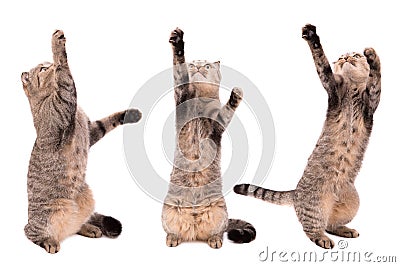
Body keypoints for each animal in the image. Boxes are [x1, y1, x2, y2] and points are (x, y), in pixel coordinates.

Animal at [21, 30, 141, 254]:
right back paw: (49, 241)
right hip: (47, 217)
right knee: (31, 233)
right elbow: (65, 71)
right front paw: (57, 45)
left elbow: (108, 121)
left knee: (74, 226)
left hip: (86, 197)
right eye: (43, 69)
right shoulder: (66, 98)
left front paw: (130, 114)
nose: (50, 65)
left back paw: (88, 228)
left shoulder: (91, 130)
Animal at [160, 27, 256, 249]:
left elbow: (227, 109)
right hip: (168, 212)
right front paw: (178, 44)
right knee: (173, 231)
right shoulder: (182, 95)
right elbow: (180, 72)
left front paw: (236, 94)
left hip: (220, 213)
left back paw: (215, 240)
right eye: (193, 64)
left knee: (218, 231)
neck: (200, 98)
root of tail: (194, 232)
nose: (197, 67)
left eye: (207, 65)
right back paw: (173, 238)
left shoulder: (217, 124)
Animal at [234, 24, 382, 250]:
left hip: (353, 203)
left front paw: (372, 57)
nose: (346, 58)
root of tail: (296, 191)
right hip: (316, 205)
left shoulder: (372, 101)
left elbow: (376, 78)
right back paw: (322, 238)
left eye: (355, 55)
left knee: (330, 224)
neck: (352, 87)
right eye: (340, 58)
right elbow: (321, 61)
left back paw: (344, 230)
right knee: (312, 228)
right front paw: (313, 37)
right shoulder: (331, 85)